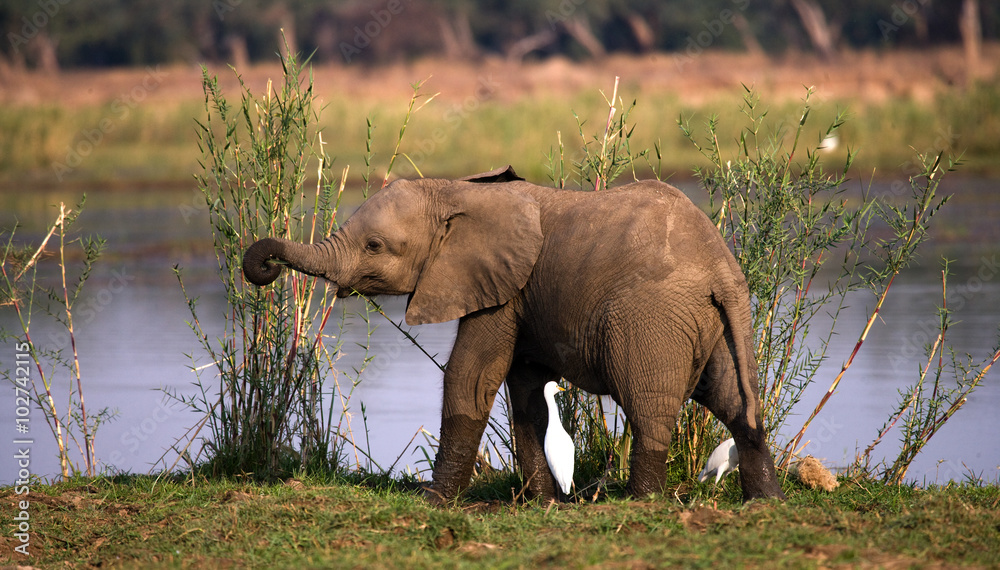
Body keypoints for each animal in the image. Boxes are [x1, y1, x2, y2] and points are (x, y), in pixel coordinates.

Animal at [242, 165, 786, 503]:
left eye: (375, 246)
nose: (265, 266)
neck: (457, 191)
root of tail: (722, 269)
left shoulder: (500, 289)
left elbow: (472, 376)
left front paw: (433, 502)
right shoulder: (521, 296)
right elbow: (525, 392)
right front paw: (542, 503)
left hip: (651, 318)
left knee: (648, 404)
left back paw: (643, 503)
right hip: (715, 325)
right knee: (735, 402)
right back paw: (765, 504)